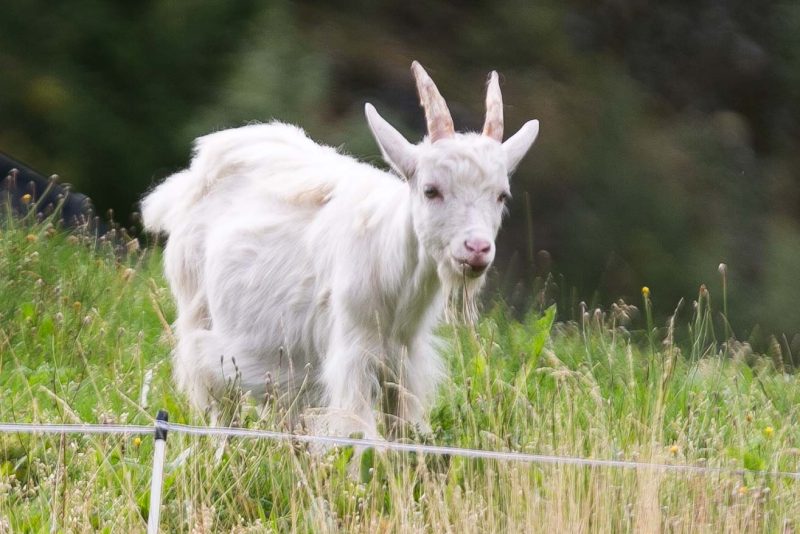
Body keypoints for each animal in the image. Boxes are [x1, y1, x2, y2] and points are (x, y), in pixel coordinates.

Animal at [141, 62, 539, 438]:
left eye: (501, 195)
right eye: (431, 190)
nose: (477, 248)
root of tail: (191, 176)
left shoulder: (405, 361)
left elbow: (402, 433)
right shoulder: (353, 353)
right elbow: (360, 437)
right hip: (199, 315)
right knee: (218, 400)